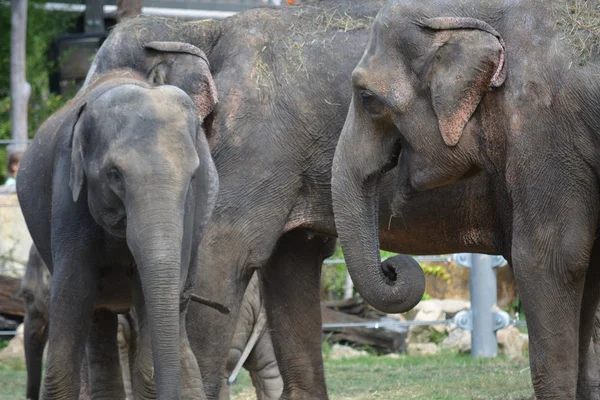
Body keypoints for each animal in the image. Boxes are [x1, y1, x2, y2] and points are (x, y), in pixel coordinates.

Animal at [17, 68, 220, 396]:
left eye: (192, 178)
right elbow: (73, 294)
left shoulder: (189, 216)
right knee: (97, 320)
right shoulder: (68, 200)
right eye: (114, 175)